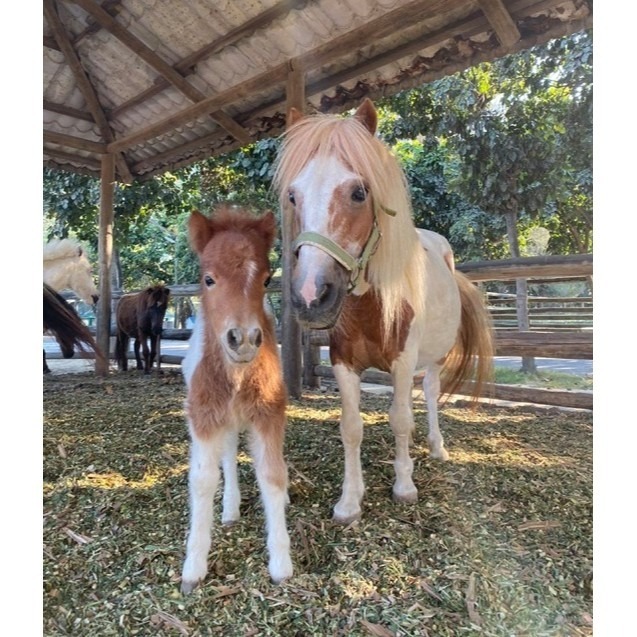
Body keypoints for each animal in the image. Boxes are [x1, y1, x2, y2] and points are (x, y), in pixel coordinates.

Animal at [178, 207, 290, 592]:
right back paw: (229, 510)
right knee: (226, 456)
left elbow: (272, 474)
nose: (242, 339)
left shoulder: (269, 413)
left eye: (268, 279)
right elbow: (202, 480)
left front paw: (281, 563)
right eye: (209, 279)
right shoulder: (204, 417)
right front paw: (193, 568)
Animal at [270, 99, 494, 524]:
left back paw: (436, 446)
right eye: (292, 196)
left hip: (435, 357)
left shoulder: (403, 361)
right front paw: (349, 500)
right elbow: (351, 426)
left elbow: (400, 419)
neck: (368, 307)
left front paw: (404, 486)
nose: (310, 296)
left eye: (359, 193)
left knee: (430, 393)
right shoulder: (342, 362)